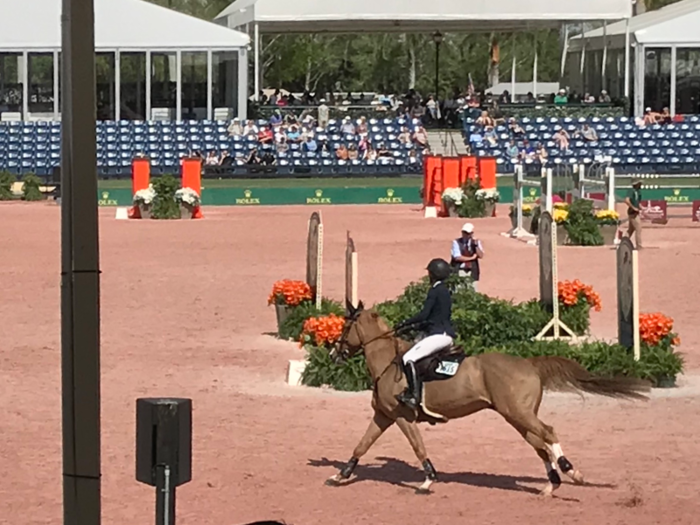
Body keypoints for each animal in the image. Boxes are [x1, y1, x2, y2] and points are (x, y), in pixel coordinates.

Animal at [326, 300, 652, 494]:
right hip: (516, 416)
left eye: (345, 325)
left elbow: (418, 447)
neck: (388, 362)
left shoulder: (403, 417)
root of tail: (529, 363)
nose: (334, 354)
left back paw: (573, 472)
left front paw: (428, 480)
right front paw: (341, 476)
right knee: (540, 446)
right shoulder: (384, 415)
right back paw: (551, 485)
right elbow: (361, 445)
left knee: (549, 433)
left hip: (519, 414)